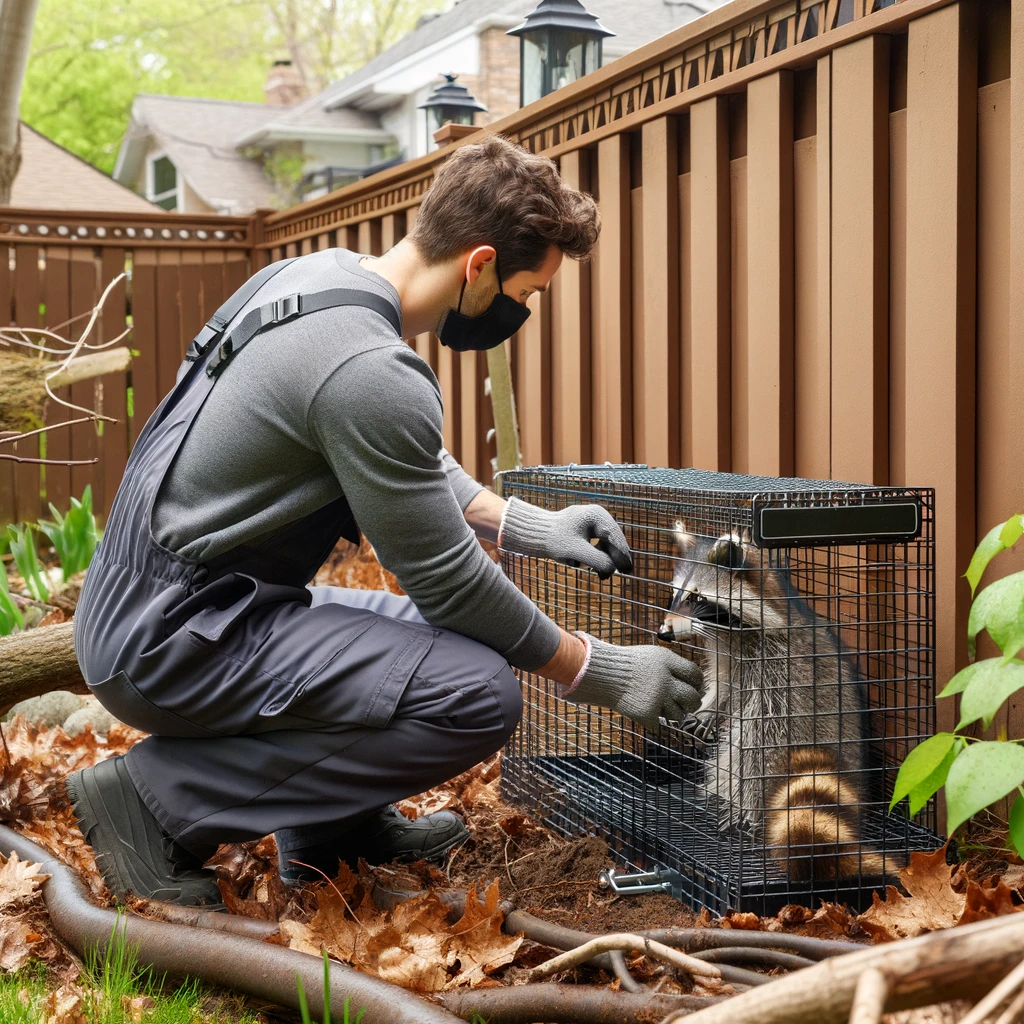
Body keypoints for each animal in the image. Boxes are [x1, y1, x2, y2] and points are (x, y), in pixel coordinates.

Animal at [659, 520, 884, 880]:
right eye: (676, 594)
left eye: (697, 597)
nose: (663, 632)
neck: (730, 633)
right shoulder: (726, 654)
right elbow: (724, 687)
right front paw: (709, 708)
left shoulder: (780, 667)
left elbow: (760, 729)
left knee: (753, 743)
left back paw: (744, 809)